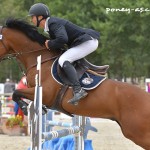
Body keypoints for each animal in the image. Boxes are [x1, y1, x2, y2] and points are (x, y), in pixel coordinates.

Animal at [0, 18, 150, 149]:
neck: (40, 60)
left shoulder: (46, 93)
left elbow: (15, 93)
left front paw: (25, 108)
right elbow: (17, 94)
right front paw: (38, 108)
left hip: (138, 133)